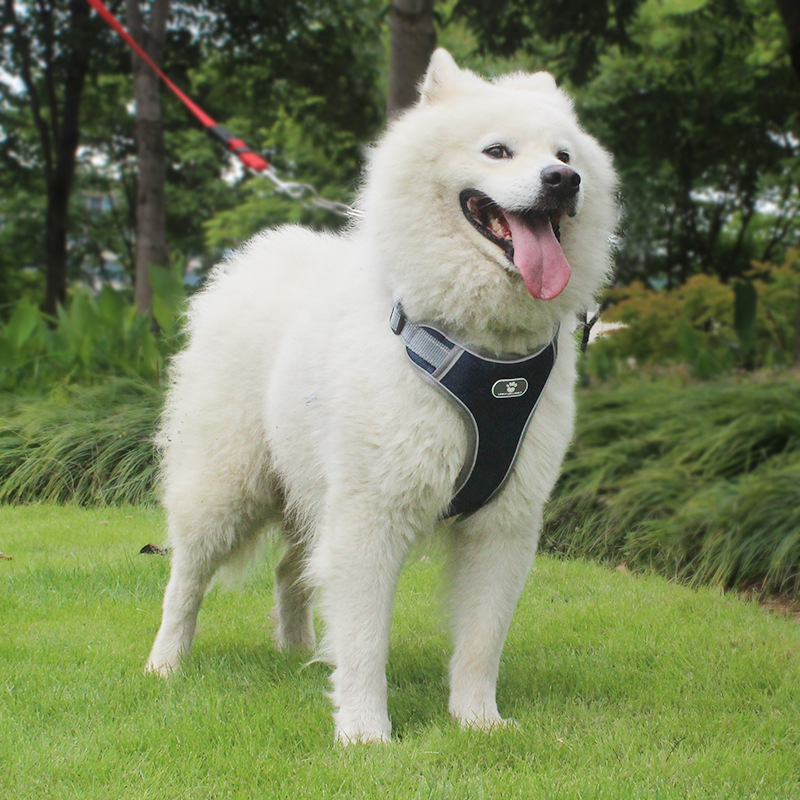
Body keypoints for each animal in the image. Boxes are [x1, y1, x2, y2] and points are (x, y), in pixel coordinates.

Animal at [145, 48, 620, 744]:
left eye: (564, 154)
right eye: (498, 150)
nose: (563, 181)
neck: (483, 351)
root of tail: (256, 257)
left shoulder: (503, 524)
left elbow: (481, 641)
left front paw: (478, 723)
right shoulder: (371, 514)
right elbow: (367, 638)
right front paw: (366, 733)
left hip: (309, 491)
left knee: (292, 573)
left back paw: (300, 653)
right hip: (226, 488)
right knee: (186, 576)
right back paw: (166, 664)